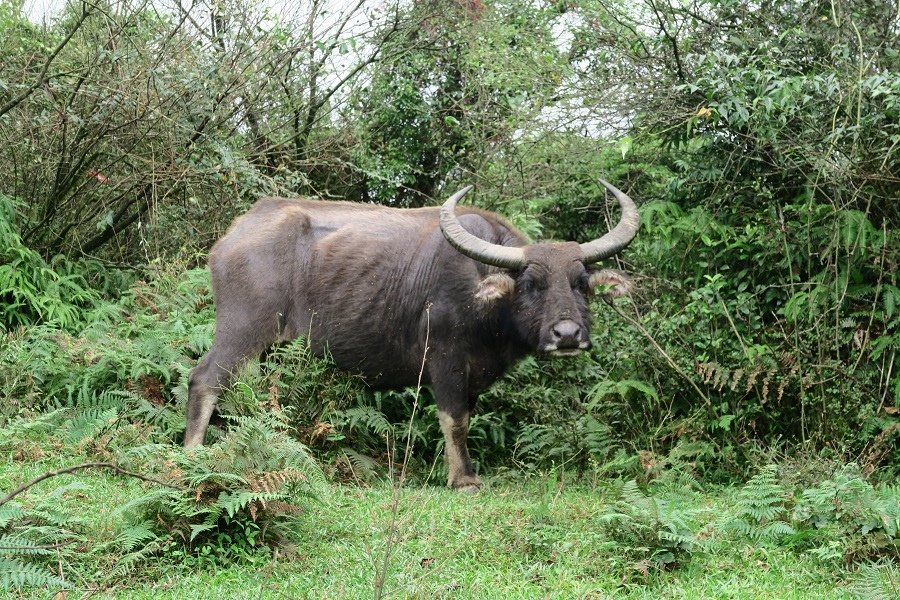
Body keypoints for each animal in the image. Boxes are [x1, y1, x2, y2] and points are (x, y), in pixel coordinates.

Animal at [186, 180, 640, 490]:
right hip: (242, 330)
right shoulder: (445, 361)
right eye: (531, 284)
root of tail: (229, 240)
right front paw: (464, 480)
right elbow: (455, 420)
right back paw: (192, 455)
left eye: (581, 283)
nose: (567, 334)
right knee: (205, 379)